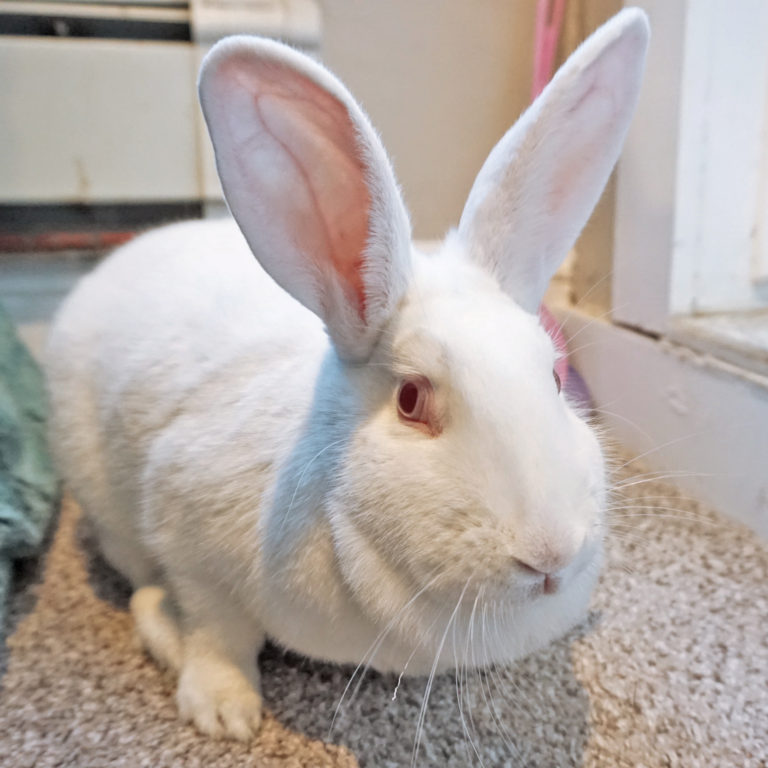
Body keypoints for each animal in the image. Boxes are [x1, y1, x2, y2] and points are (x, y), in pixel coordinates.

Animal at [46, 9, 648, 744]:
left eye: (556, 379)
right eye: (411, 399)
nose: (552, 554)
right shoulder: (189, 538)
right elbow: (217, 631)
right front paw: (225, 715)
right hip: (103, 498)